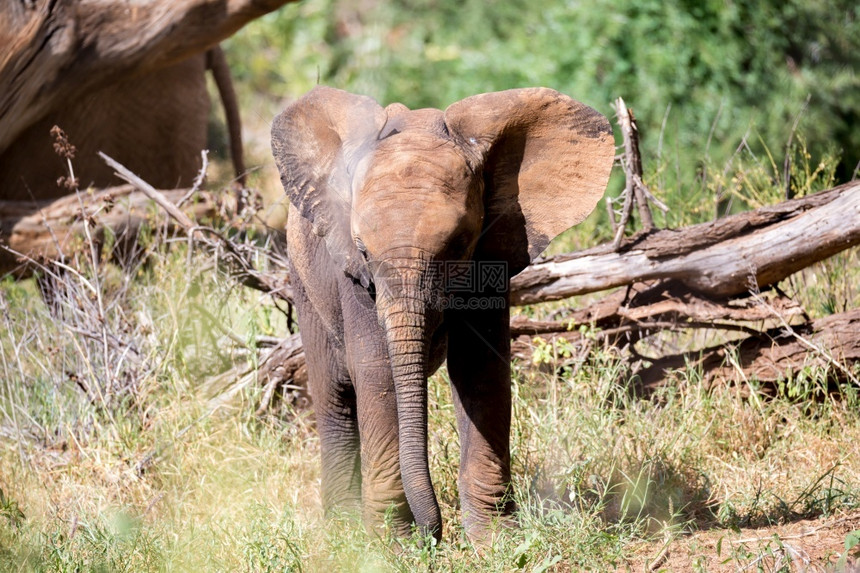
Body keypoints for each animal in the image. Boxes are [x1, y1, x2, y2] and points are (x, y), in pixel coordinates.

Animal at [268, 86, 612, 540]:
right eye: (363, 251)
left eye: (459, 245)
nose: (433, 534)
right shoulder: (352, 275)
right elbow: (377, 371)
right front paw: (391, 544)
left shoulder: (491, 254)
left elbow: (479, 368)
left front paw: (496, 539)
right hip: (304, 281)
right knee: (334, 397)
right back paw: (343, 529)